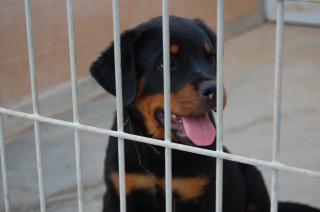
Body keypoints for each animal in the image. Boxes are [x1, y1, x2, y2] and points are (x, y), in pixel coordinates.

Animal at [90, 16, 320, 212]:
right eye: (167, 63)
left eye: (212, 58)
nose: (214, 89)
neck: (160, 152)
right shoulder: (118, 193)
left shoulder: (203, 195)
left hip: (253, 178)